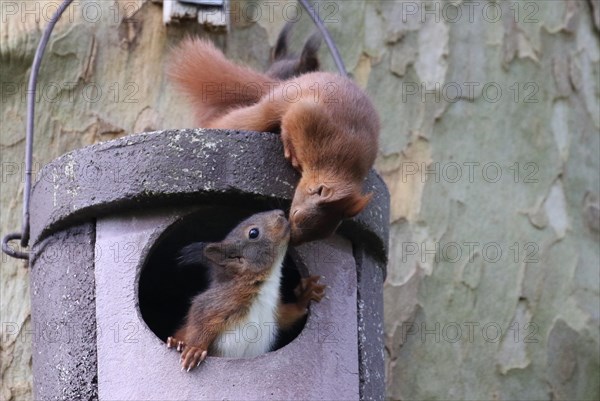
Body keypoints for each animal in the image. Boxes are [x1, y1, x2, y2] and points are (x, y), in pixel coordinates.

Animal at [166, 28, 378, 244]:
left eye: (323, 234)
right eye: (296, 215)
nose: (292, 241)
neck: (340, 163)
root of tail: (287, 83)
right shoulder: (306, 115)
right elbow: (288, 126)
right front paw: (290, 150)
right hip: (271, 107)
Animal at [166, 211, 326, 370]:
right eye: (253, 233)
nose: (280, 213)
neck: (266, 286)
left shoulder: (275, 310)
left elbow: (289, 315)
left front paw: (305, 295)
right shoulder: (219, 301)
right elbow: (199, 321)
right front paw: (195, 349)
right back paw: (177, 343)